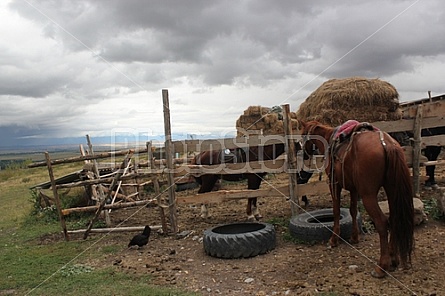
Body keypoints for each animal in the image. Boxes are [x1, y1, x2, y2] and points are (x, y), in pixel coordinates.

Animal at [298, 119, 412, 278]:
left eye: (303, 135)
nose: (304, 155)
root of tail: (387, 144)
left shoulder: (334, 184)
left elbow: (336, 211)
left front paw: (334, 239)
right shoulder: (353, 188)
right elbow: (352, 210)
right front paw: (354, 237)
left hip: (368, 195)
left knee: (382, 223)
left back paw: (382, 266)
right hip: (391, 190)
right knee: (394, 218)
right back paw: (393, 258)